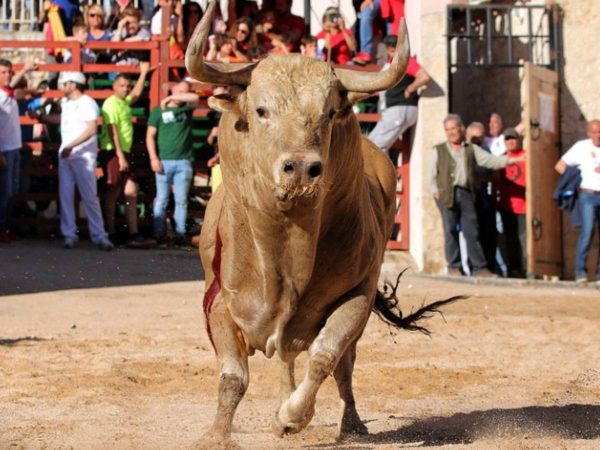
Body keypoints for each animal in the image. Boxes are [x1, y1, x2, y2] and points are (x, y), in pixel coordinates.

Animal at [188, 0, 460, 442]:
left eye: (329, 113)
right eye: (261, 110)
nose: (301, 168)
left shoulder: (356, 297)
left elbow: (325, 358)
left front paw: (291, 416)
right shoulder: (218, 302)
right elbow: (233, 377)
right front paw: (217, 436)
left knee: (342, 368)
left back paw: (350, 424)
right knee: (285, 360)